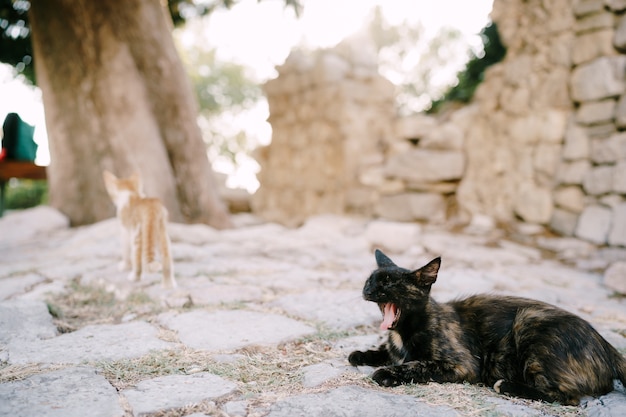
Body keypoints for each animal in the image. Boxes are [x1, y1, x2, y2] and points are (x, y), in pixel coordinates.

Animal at [346, 249, 624, 404]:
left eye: (390, 283)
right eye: (370, 280)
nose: (368, 290)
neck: (403, 333)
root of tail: (608, 348)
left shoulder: (462, 364)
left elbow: (415, 365)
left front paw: (387, 372)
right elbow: (383, 352)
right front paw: (362, 354)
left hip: (528, 321)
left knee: (568, 397)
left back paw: (506, 385)